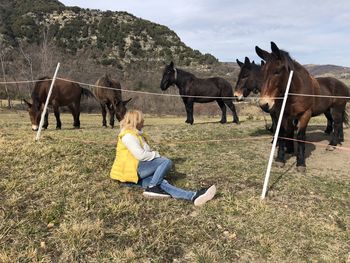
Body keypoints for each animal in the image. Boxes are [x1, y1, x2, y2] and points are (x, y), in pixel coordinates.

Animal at [256, 41, 348, 173]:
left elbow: (300, 136)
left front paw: (300, 163)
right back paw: (338, 142)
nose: (264, 104)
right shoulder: (284, 115)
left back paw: (332, 145)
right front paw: (281, 158)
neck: (295, 90)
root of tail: (343, 85)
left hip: (336, 109)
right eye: (262, 73)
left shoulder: (305, 114)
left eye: (277, 71)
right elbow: (284, 133)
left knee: (337, 123)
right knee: (338, 124)